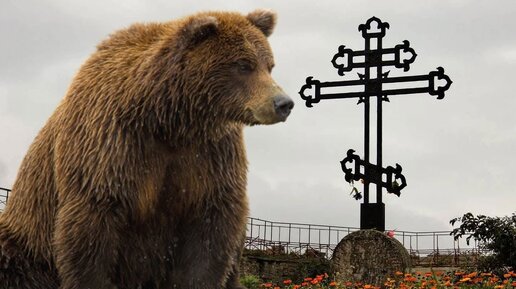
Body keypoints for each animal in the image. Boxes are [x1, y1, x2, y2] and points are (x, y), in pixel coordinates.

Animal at [0, 9, 292, 288]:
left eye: (269, 65)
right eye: (243, 65)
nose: (283, 103)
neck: (169, 121)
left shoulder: (210, 155)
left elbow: (210, 229)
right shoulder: (112, 148)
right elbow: (91, 231)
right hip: (27, 241)